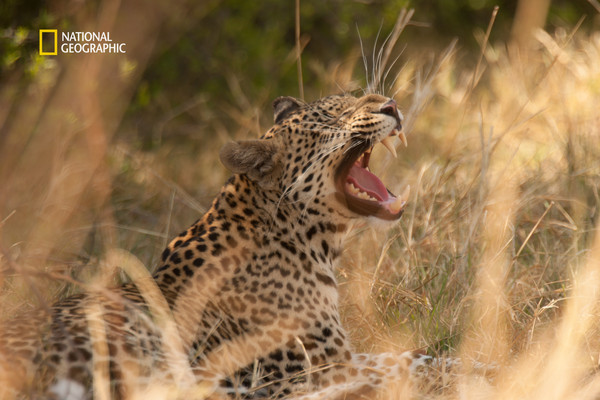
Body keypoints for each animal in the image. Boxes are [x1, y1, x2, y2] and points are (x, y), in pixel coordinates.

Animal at [0, 92, 426, 398]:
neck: (312, 242)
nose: (391, 105)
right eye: (334, 118)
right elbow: (397, 362)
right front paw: (434, 364)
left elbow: (396, 355)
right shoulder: (328, 362)